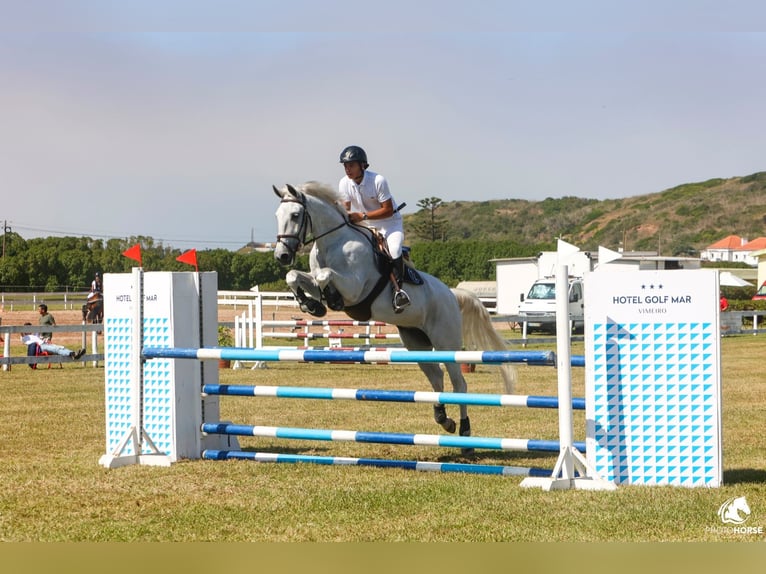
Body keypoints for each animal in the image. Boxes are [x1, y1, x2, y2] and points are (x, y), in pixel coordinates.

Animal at [272, 182, 520, 448]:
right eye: (277, 216)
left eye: (295, 215)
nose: (281, 256)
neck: (332, 243)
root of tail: (452, 294)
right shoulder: (316, 278)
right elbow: (295, 276)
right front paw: (310, 304)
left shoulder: (354, 288)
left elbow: (324, 275)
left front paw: (322, 299)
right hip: (416, 342)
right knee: (436, 377)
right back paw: (443, 419)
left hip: (446, 342)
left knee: (459, 383)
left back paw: (465, 433)